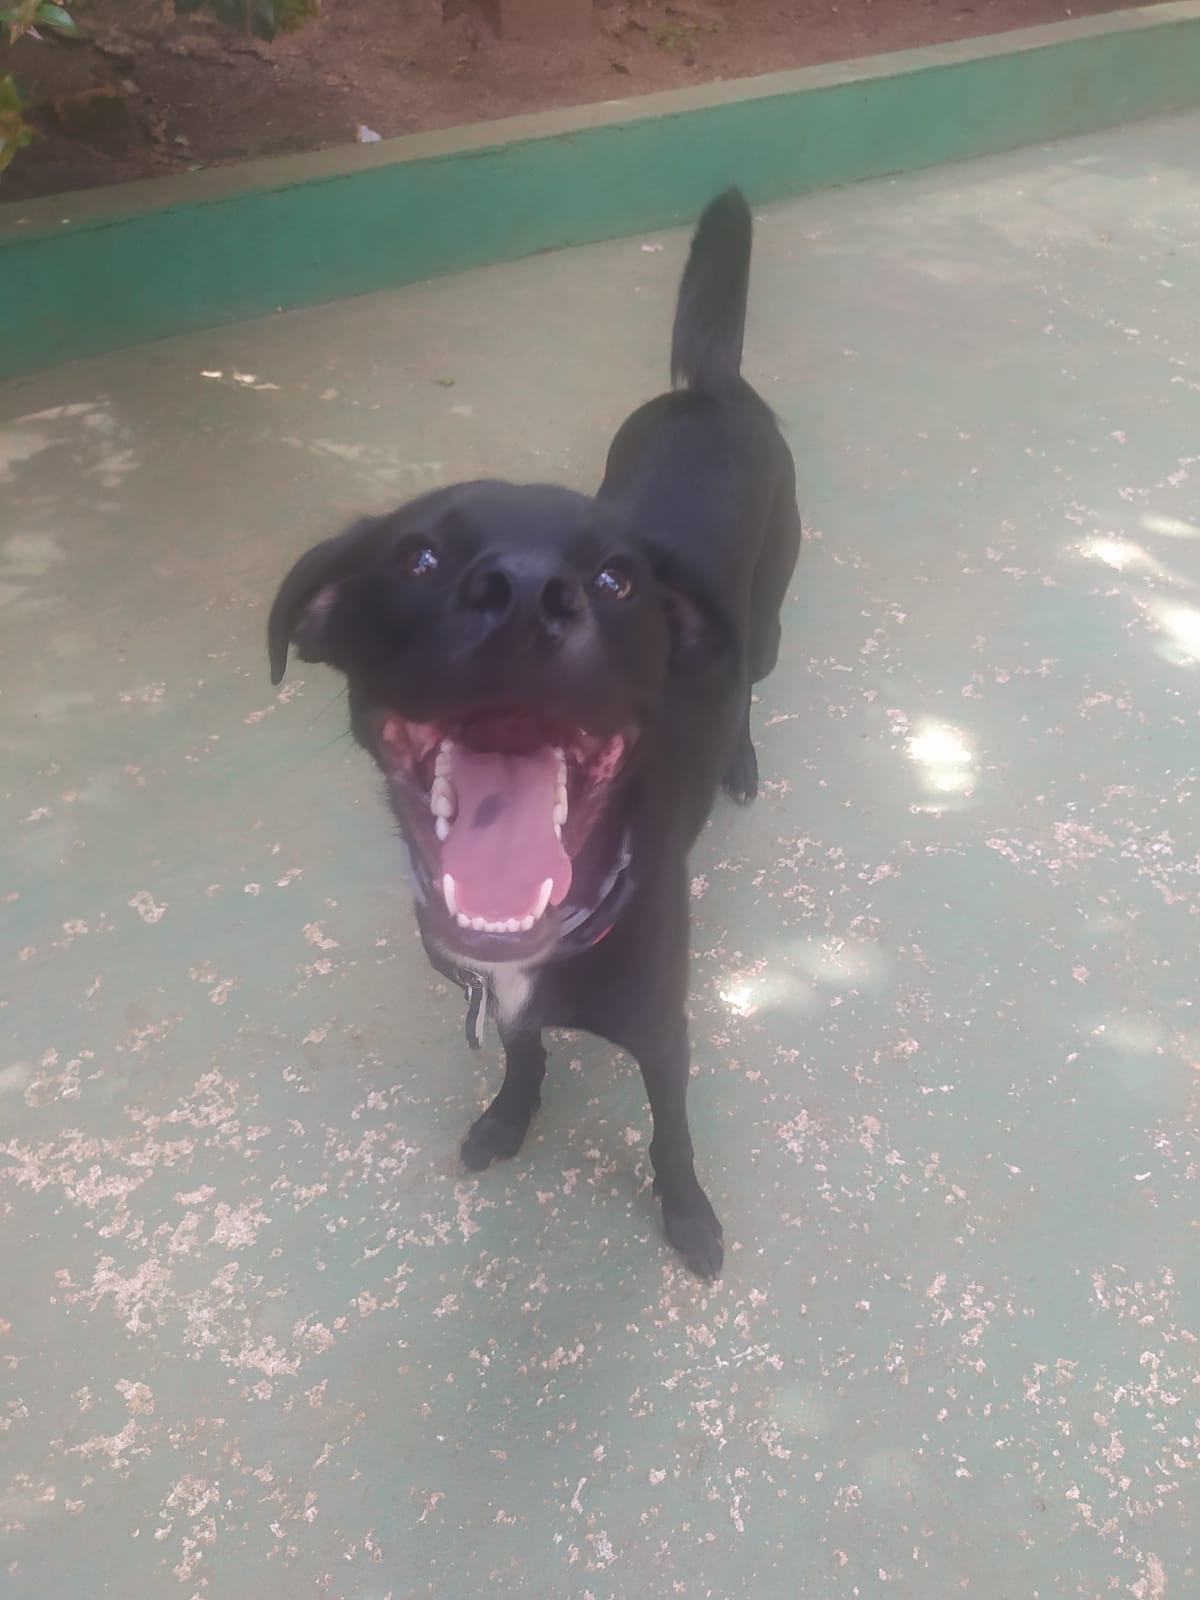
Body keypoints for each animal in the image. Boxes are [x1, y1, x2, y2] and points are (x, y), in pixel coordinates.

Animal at [267, 189, 801, 1276]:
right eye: (418, 558)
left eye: (616, 579)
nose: (522, 594)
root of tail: (711, 390)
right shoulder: (498, 1002)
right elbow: (524, 1056)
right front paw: (510, 1120)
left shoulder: (665, 1034)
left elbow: (671, 1134)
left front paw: (688, 1216)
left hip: (765, 626)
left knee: (751, 682)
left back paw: (741, 759)